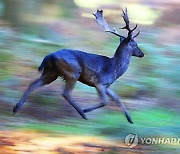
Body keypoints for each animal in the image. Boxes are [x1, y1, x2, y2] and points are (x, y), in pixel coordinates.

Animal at [13, 8, 143, 124]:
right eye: (135, 44)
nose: (142, 53)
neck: (115, 69)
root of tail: (50, 55)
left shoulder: (107, 86)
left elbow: (117, 98)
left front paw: (130, 119)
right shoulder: (99, 83)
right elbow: (105, 101)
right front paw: (86, 109)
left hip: (51, 72)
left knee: (33, 84)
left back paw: (16, 108)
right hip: (73, 72)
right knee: (66, 93)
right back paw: (82, 113)